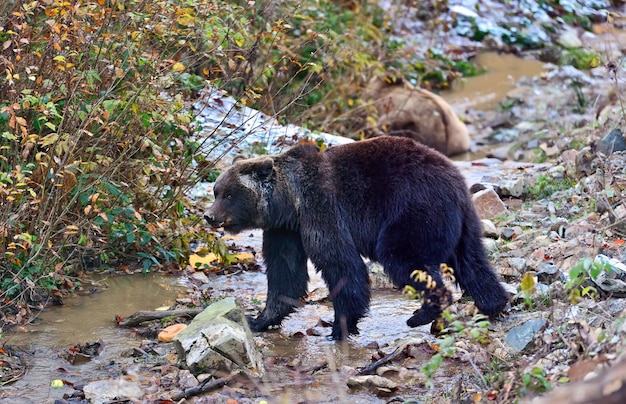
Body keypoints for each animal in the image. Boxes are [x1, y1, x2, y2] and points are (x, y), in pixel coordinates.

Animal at [205, 137, 508, 340]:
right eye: (216, 190)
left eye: (229, 194)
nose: (209, 216)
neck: (290, 202)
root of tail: (456, 182)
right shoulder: (285, 230)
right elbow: (285, 273)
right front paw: (259, 319)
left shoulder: (322, 208)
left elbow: (341, 264)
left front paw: (339, 327)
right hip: (462, 224)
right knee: (472, 262)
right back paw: (492, 305)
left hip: (413, 212)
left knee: (404, 258)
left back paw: (421, 314)